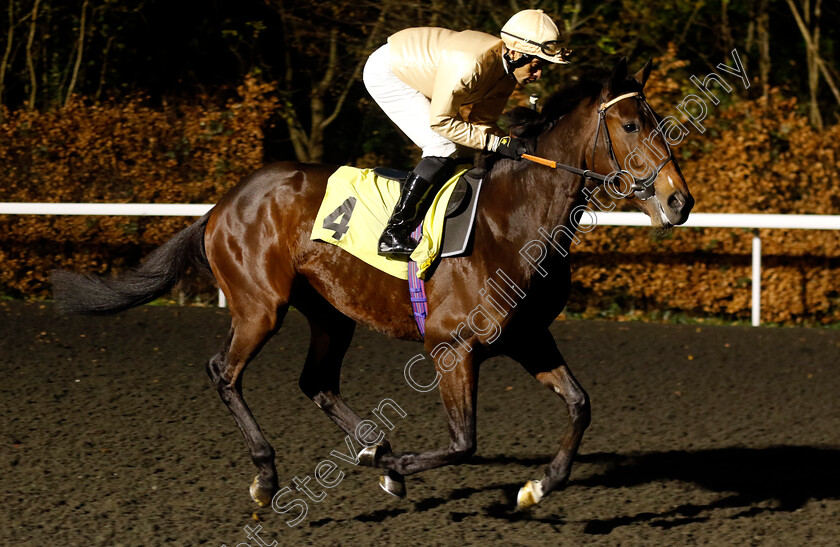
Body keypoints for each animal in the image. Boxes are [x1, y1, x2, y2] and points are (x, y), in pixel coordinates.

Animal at [54, 57, 696, 512]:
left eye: (661, 125)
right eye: (631, 124)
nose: (679, 202)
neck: (513, 221)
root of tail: (223, 204)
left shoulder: (527, 337)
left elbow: (580, 405)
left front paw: (537, 486)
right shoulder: (451, 346)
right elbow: (464, 443)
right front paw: (396, 469)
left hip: (331, 312)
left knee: (315, 381)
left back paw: (371, 448)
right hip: (260, 306)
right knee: (224, 372)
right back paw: (270, 473)